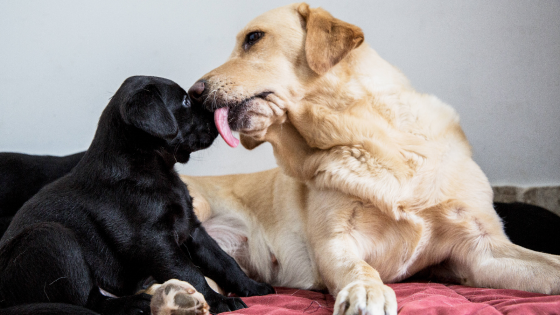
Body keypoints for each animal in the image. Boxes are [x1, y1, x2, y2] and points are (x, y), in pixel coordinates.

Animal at [0, 77, 274, 315]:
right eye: (185, 101)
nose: (221, 111)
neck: (151, 168)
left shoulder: (192, 229)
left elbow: (223, 262)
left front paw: (254, 287)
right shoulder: (154, 240)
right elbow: (189, 272)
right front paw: (216, 301)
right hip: (51, 237)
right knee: (90, 301)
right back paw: (133, 304)